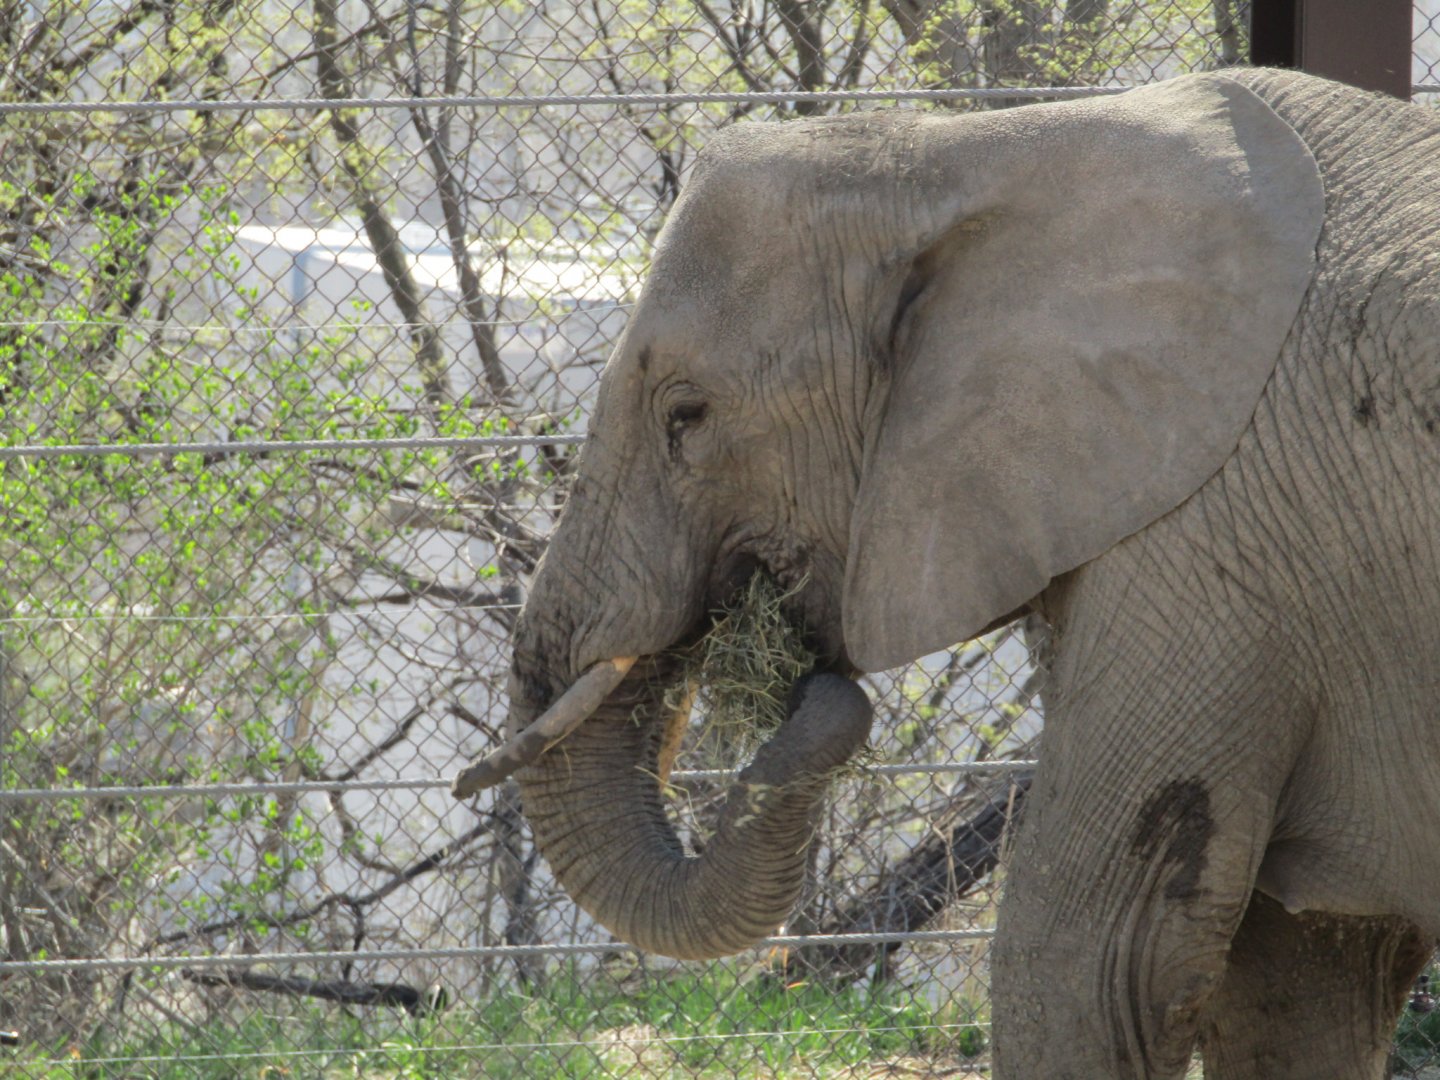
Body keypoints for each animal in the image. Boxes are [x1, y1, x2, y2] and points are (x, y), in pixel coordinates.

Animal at [452, 68, 1440, 1078]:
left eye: (686, 417)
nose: (807, 681)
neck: (971, 150)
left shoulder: (1218, 535)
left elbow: (1097, 960)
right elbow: (1302, 978)